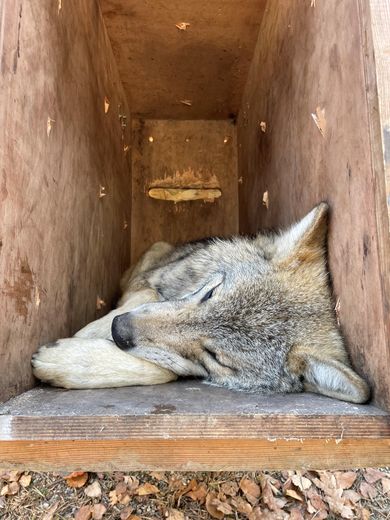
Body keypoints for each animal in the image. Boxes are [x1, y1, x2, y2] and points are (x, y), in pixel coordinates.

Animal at [32, 202, 370, 402]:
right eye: (210, 293)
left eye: (215, 357)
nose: (121, 331)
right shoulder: (147, 281)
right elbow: (144, 297)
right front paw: (87, 336)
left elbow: (165, 371)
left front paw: (68, 359)